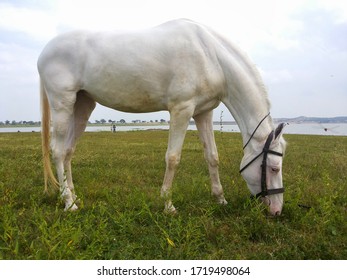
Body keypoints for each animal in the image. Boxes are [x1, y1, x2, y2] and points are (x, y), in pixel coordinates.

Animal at [38, 19, 286, 217]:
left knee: (68, 151)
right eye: (274, 168)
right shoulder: (181, 110)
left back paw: (74, 196)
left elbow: (212, 157)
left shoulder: (203, 113)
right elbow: (173, 158)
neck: (210, 55)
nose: (277, 211)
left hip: (82, 106)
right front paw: (168, 205)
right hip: (63, 104)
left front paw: (220, 199)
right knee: (58, 151)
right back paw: (68, 203)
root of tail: (44, 52)